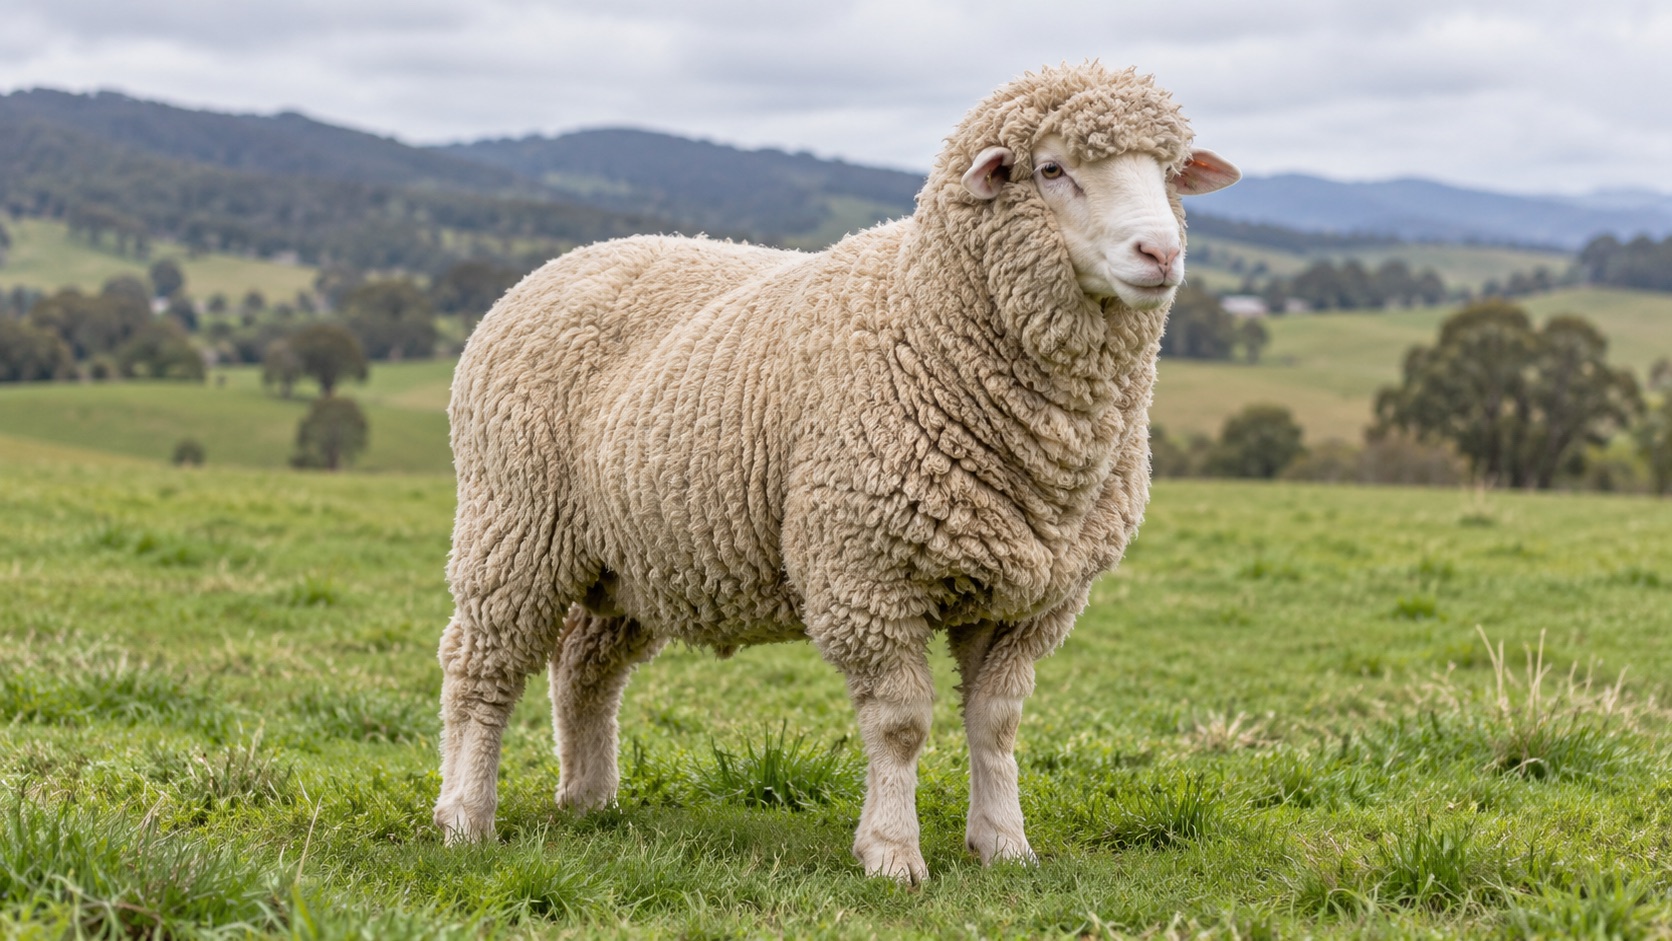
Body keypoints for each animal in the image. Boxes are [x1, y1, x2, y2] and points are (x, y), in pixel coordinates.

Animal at [432, 62, 1240, 883]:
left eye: (1170, 172)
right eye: (1052, 170)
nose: (1160, 253)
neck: (926, 319)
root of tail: (558, 264)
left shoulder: (1033, 596)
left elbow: (998, 722)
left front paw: (1004, 845)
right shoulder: (866, 573)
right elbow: (901, 725)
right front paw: (892, 852)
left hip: (625, 560)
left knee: (583, 668)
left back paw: (589, 799)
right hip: (514, 525)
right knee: (479, 666)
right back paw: (465, 815)